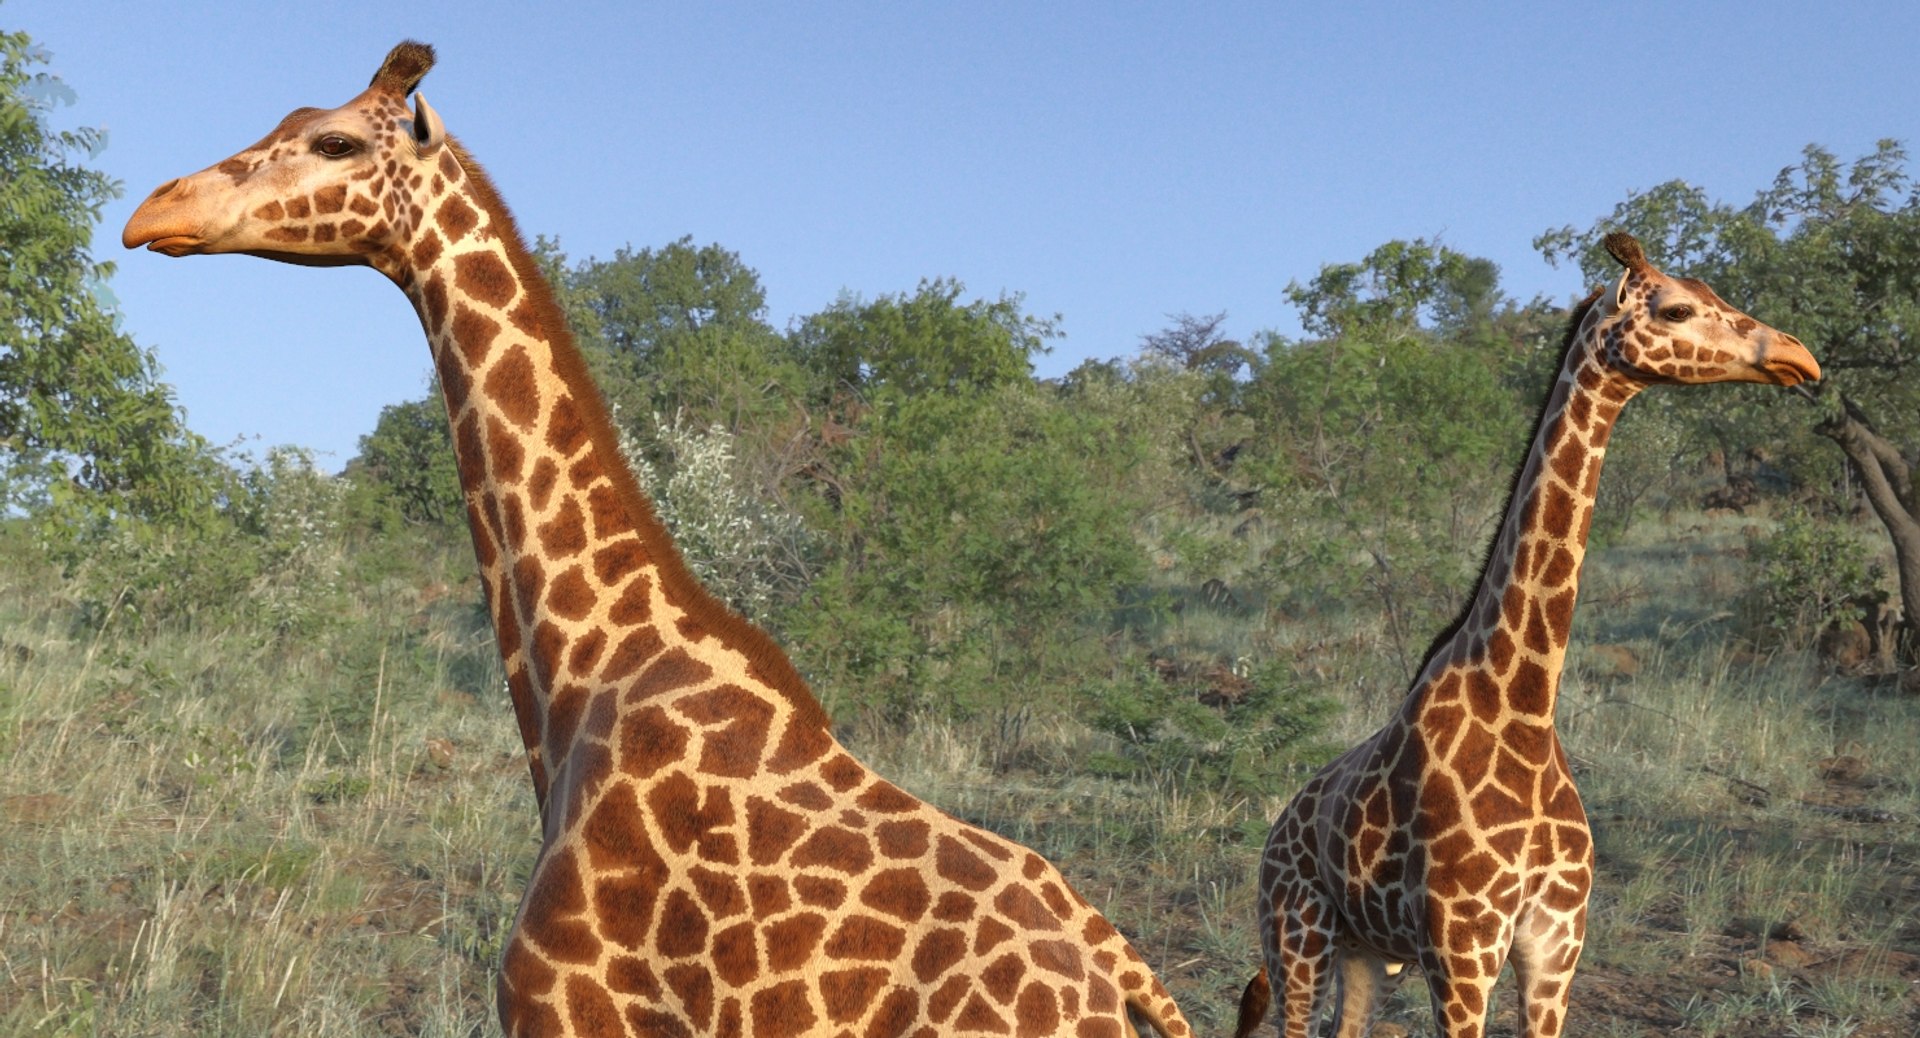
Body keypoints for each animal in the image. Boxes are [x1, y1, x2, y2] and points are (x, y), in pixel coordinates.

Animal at [1231, 233, 1820, 1038]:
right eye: (1676, 309)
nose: (1800, 358)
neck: (1528, 705)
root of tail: (1279, 826)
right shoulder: (1462, 953)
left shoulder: (1554, 951)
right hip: (1295, 935)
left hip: (1364, 954)